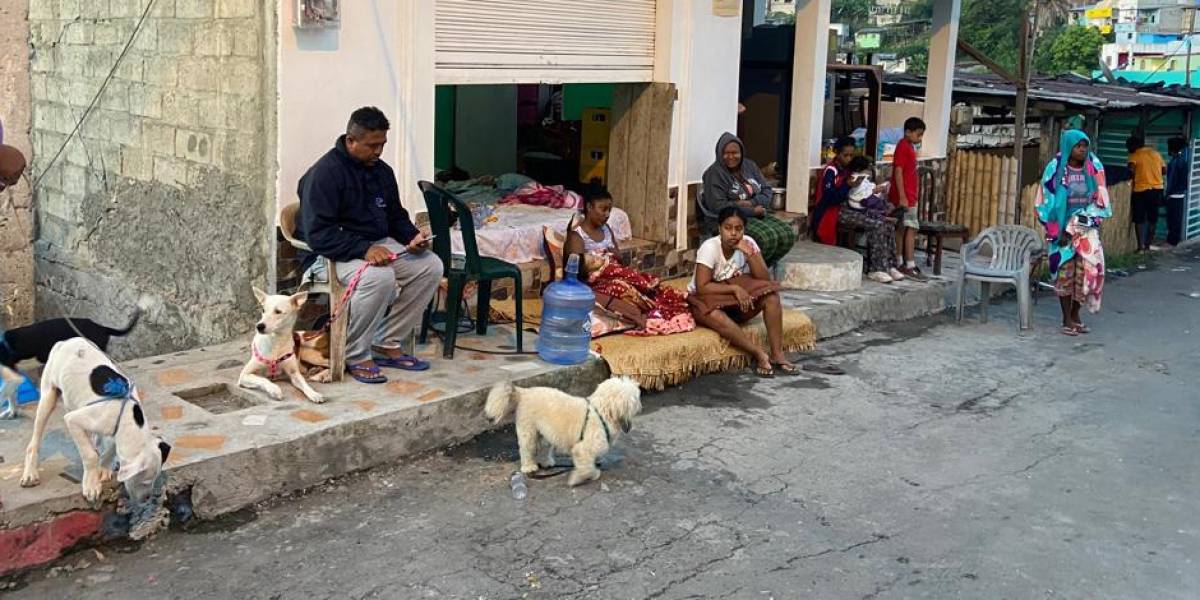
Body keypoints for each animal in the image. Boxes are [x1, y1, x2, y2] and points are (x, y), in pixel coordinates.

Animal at [19, 338, 170, 501]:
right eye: (144, 481)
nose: (147, 498)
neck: (128, 417)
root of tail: (67, 341)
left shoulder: (113, 430)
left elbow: (109, 450)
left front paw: (102, 468)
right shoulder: (73, 421)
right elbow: (90, 455)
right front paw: (91, 484)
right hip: (48, 397)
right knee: (35, 440)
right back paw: (30, 474)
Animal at [482, 374, 643, 487]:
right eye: (636, 397)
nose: (641, 406)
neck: (602, 411)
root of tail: (525, 392)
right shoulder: (582, 449)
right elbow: (587, 467)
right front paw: (579, 478)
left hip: (545, 433)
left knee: (543, 448)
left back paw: (547, 462)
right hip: (528, 430)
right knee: (526, 449)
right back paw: (529, 467)